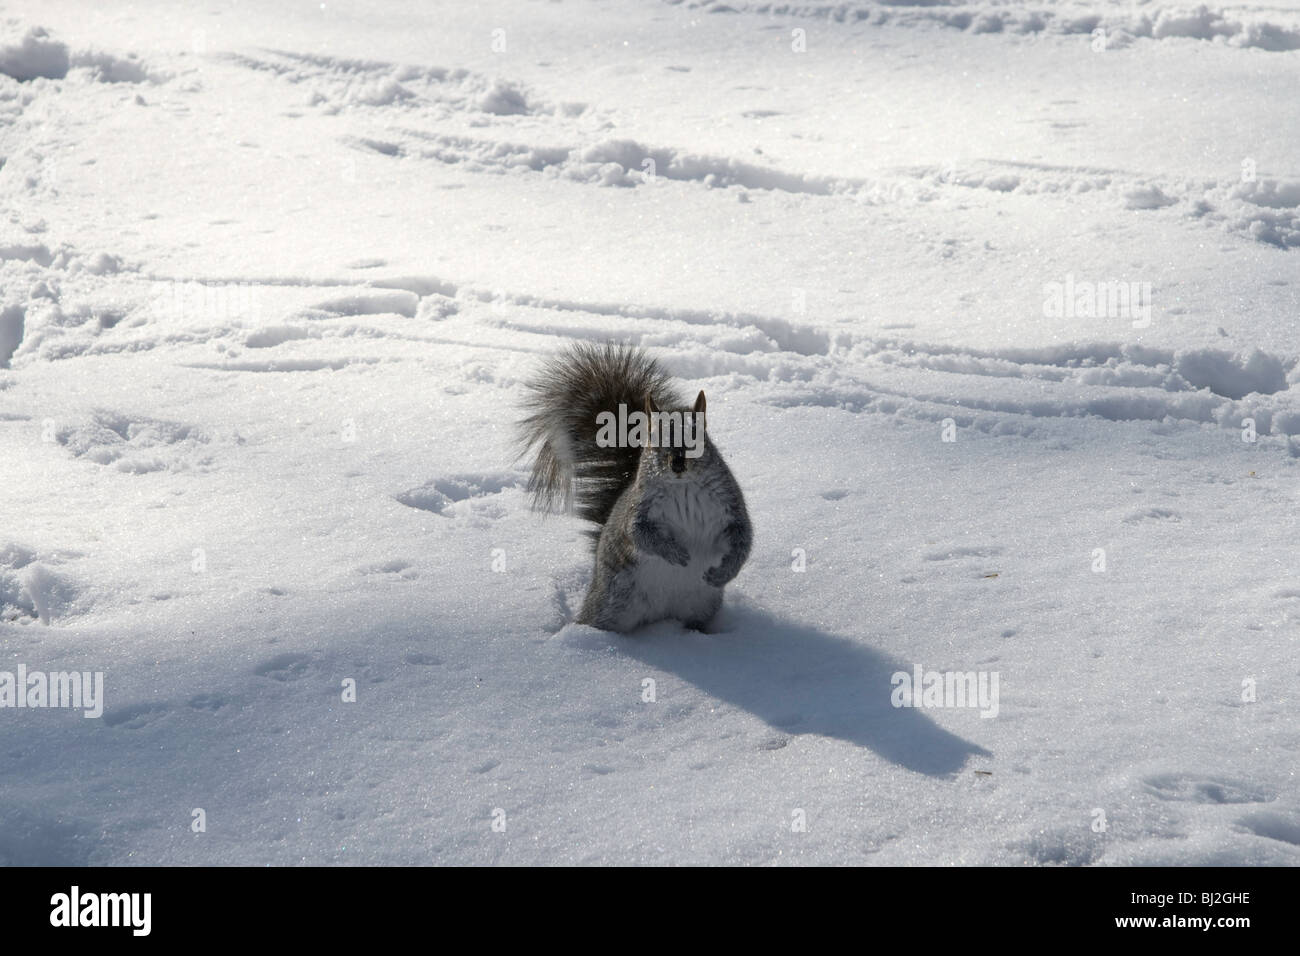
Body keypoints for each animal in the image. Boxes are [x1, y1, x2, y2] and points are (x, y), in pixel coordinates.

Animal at [520, 345, 754, 634]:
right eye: (655, 439)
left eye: (698, 438)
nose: (677, 464)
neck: (683, 487)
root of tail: (660, 616)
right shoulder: (639, 508)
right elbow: (640, 533)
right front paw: (676, 553)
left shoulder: (730, 505)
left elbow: (742, 538)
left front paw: (723, 573)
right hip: (611, 605)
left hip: (700, 607)